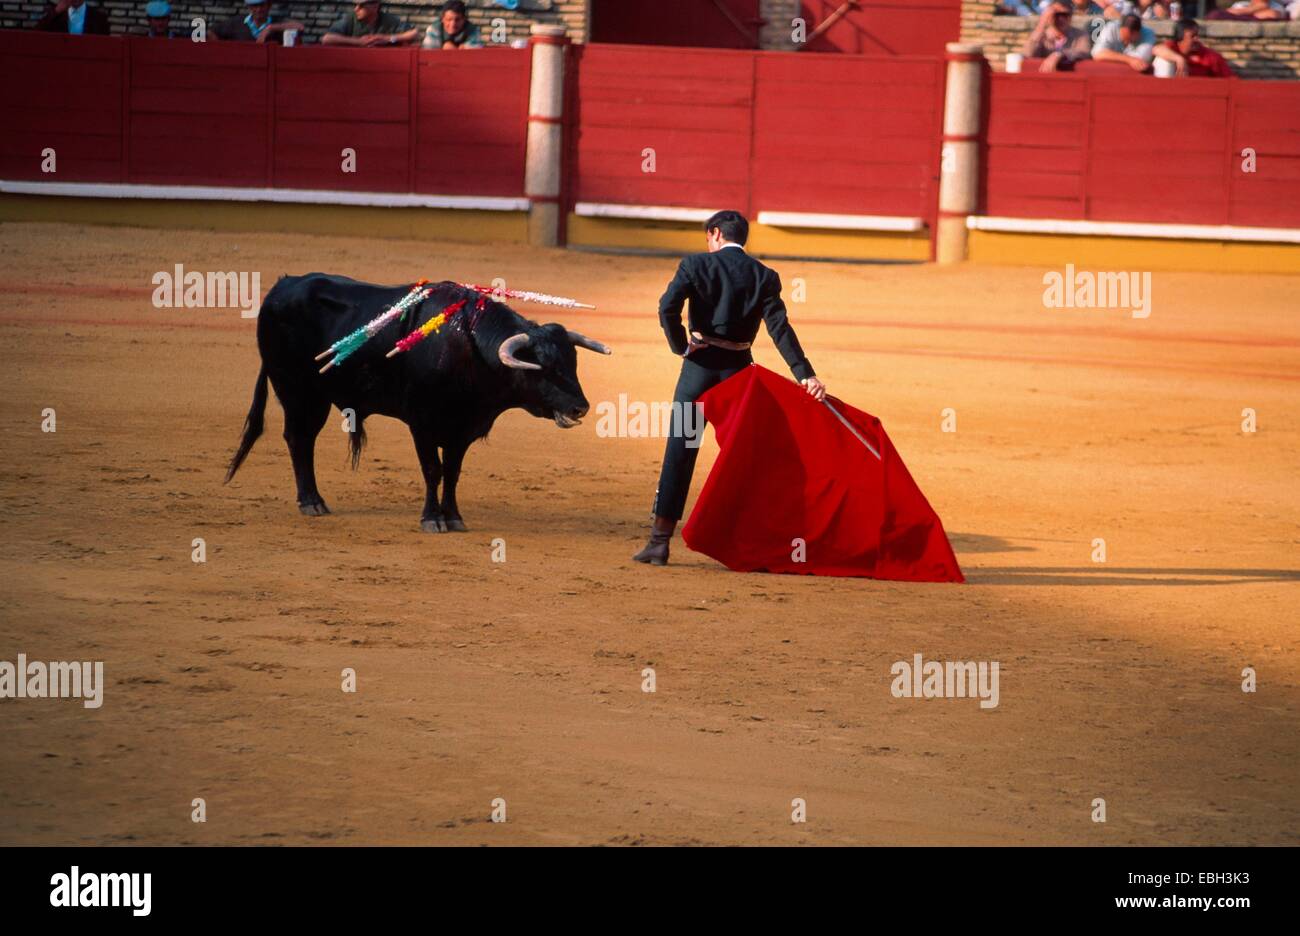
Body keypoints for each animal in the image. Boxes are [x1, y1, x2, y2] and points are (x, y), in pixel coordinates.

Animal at [223, 274, 608, 530]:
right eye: (544, 368)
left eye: (572, 362)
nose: (580, 407)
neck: (467, 347)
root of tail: (281, 287)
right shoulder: (421, 423)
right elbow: (432, 469)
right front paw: (432, 519)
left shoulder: (462, 427)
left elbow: (452, 471)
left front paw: (454, 517)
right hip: (299, 392)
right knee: (299, 439)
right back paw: (312, 501)